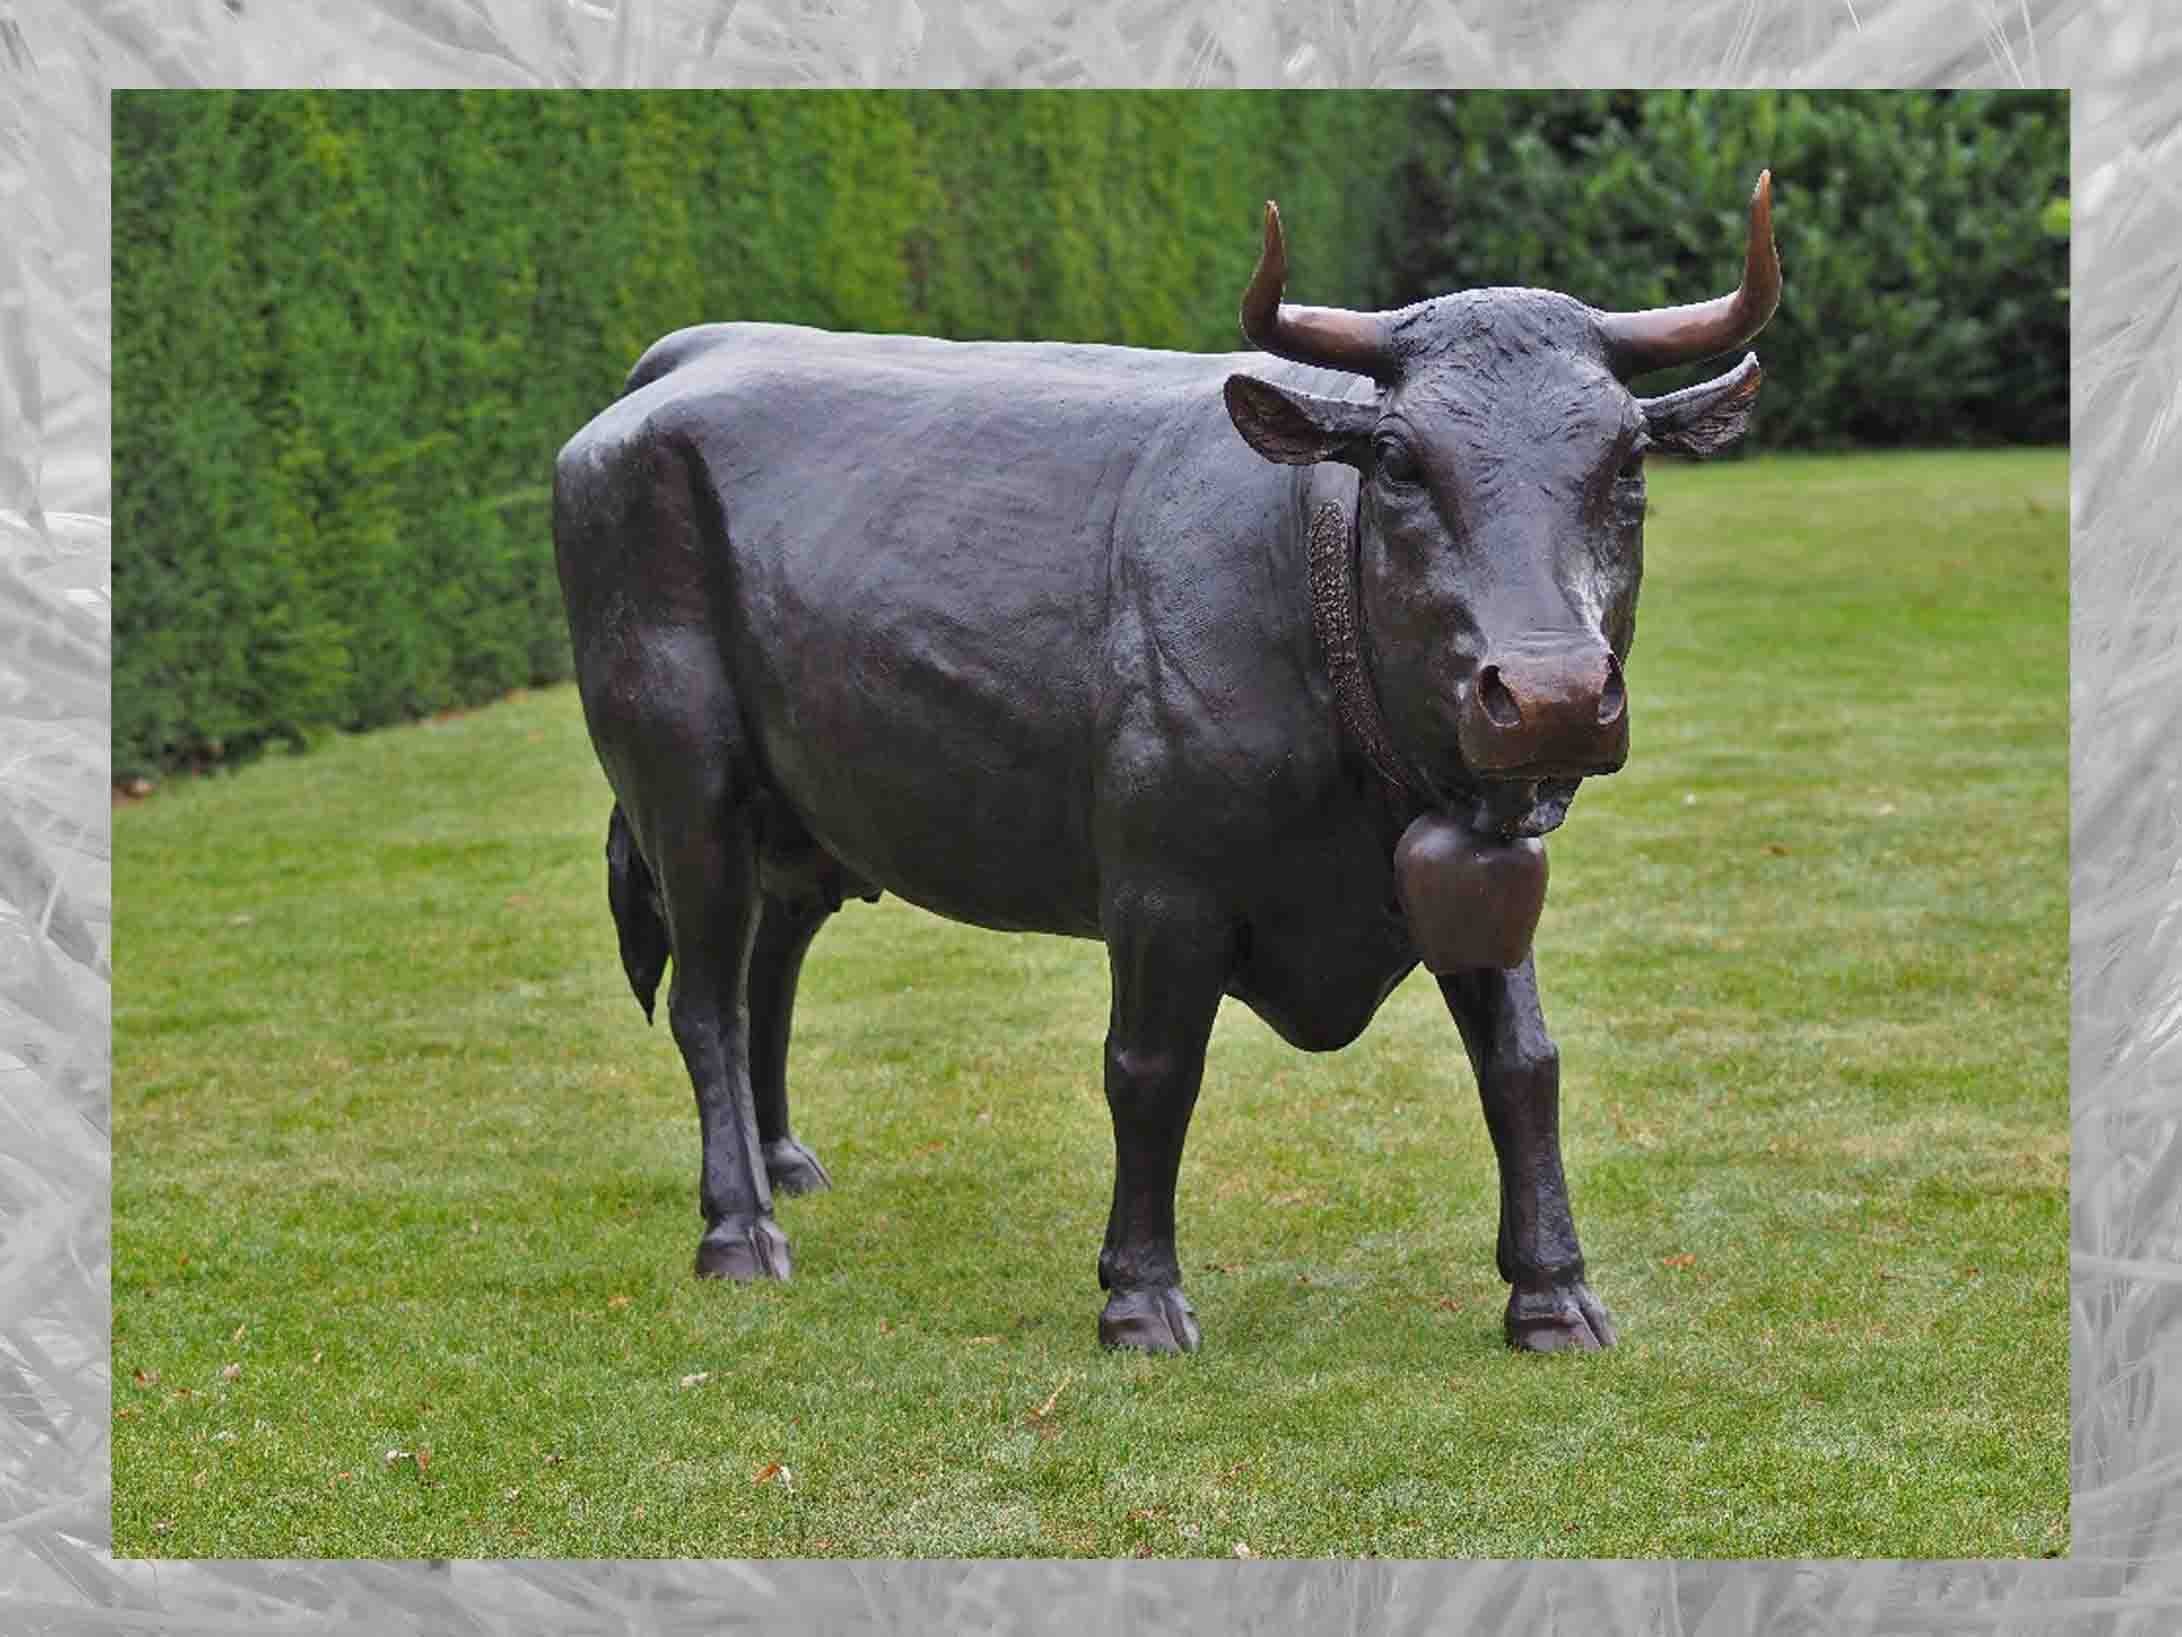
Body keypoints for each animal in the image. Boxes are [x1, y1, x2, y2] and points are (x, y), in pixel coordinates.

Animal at [553, 173, 1780, 1355]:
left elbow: (1524, 1061)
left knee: (771, 966)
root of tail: (672, 370)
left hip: (805, 815)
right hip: (684, 788)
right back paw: (738, 1224)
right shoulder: (1159, 887)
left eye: (1627, 460)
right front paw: (1139, 1296)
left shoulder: (1482, 861)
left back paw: (782, 1162)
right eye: (1397, 458)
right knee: (706, 998)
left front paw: (1554, 1292)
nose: (1550, 695)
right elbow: (1149, 1069)